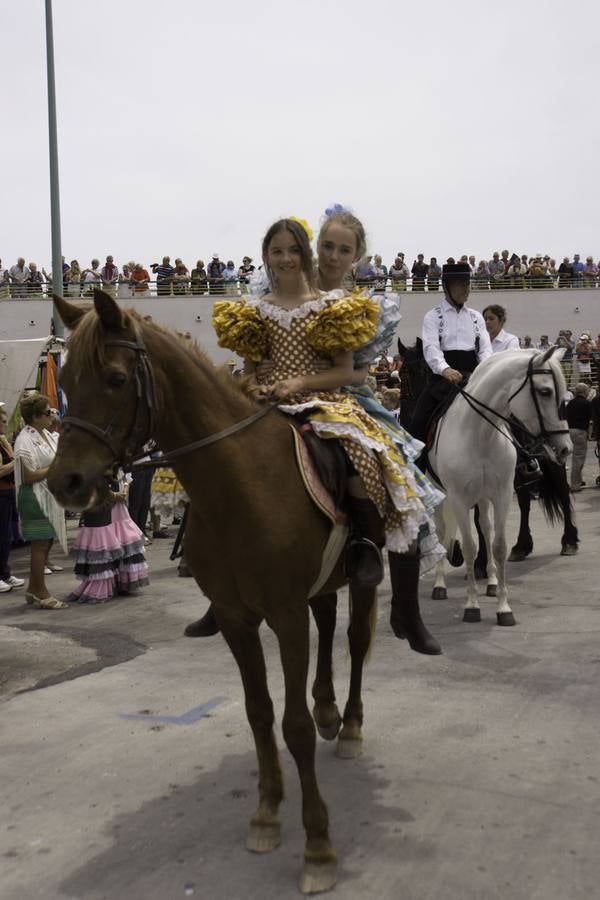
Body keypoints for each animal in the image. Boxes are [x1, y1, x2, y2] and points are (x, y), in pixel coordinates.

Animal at [48, 292, 376, 896]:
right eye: (66, 382)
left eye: (113, 379)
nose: (67, 484)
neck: (241, 485)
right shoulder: (235, 617)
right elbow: (259, 712)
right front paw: (267, 813)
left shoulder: (284, 614)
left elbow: (292, 725)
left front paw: (317, 845)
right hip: (318, 587)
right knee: (326, 624)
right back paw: (328, 708)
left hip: (370, 575)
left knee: (357, 641)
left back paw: (350, 726)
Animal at [396, 338, 580, 564]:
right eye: (402, 373)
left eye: (419, 372)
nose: (405, 417)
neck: (476, 431)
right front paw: (464, 555)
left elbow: (478, 522)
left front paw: (481, 562)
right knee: (524, 501)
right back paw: (521, 546)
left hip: (552, 463)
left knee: (563, 492)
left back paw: (569, 540)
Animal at [426, 346, 572, 624]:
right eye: (545, 391)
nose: (564, 449)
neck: (479, 433)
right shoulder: (459, 498)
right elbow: (469, 548)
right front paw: (472, 606)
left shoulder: (502, 493)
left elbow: (499, 545)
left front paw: (504, 608)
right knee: (441, 532)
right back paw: (439, 585)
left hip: (486, 495)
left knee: (486, 527)